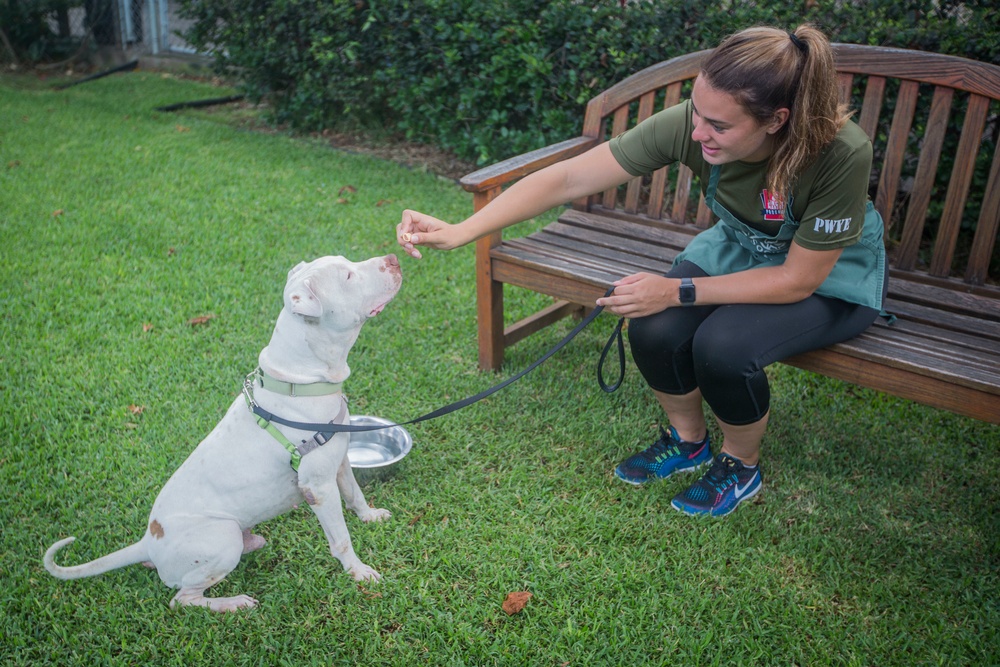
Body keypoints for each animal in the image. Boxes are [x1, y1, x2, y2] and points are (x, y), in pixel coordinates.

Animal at [43, 254, 402, 612]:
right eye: (347, 276)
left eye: (347, 261)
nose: (393, 258)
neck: (298, 382)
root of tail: (148, 542)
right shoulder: (318, 488)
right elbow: (340, 538)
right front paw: (358, 572)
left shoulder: (339, 462)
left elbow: (355, 494)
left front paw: (370, 516)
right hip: (222, 536)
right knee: (182, 599)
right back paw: (234, 603)